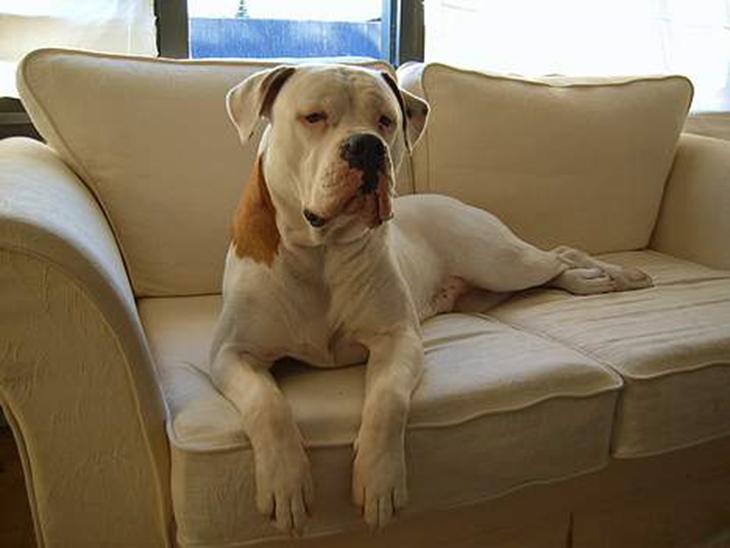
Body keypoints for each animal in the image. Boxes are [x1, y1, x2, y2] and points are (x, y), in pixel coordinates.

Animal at [208, 64, 652, 535]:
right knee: (550, 270)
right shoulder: (231, 354)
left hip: (499, 260)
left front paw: (380, 479)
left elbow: (388, 400)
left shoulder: (398, 338)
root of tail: (456, 201)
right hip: (490, 286)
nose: (367, 145)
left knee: (561, 253)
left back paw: (613, 276)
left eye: (386, 121)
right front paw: (286, 482)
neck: (321, 252)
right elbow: (268, 405)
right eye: (313, 117)